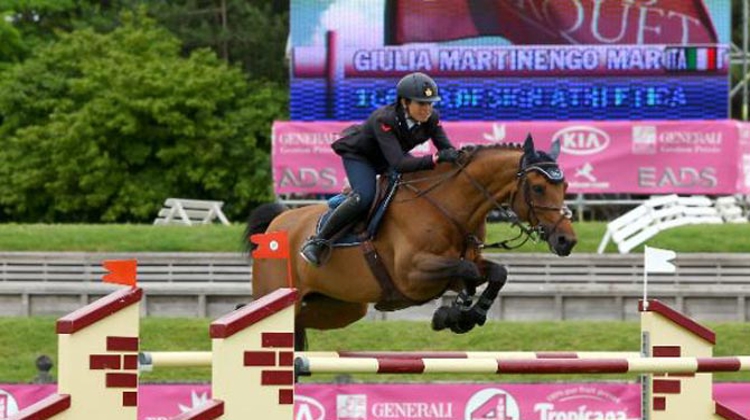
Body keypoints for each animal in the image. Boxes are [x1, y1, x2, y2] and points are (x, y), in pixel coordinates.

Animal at [244, 135, 580, 352]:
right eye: (537, 188)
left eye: (564, 186)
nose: (567, 241)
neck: (450, 207)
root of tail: (274, 226)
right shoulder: (413, 274)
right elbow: (470, 272)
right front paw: (453, 315)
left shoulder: (448, 271)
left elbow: (495, 273)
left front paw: (468, 316)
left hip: (341, 307)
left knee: (301, 323)